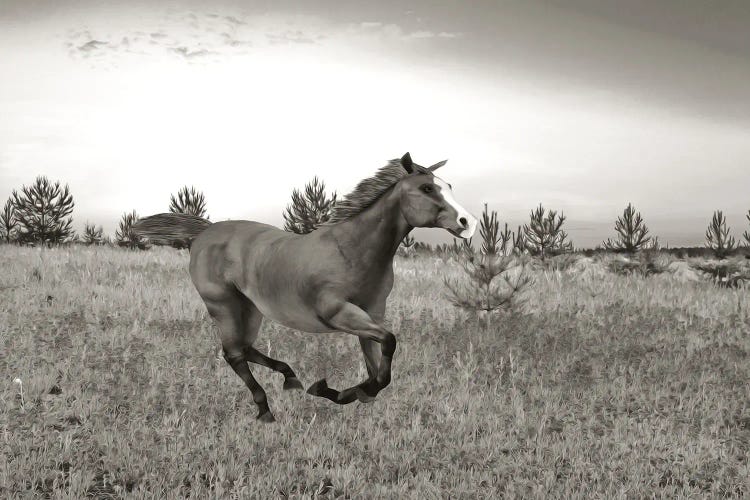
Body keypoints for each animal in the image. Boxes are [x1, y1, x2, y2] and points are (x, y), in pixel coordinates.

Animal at [134, 152, 476, 422]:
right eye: (427, 188)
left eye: (449, 186)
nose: (468, 222)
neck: (352, 250)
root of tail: (205, 232)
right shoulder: (339, 313)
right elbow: (388, 347)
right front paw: (330, 390)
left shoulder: (372, 313)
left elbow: (377, 368)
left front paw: (352, 393)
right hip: (223, 305)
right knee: (233, 353)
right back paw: (266, 410)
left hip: (251, 307)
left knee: (244, 348)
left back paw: (291, 379)